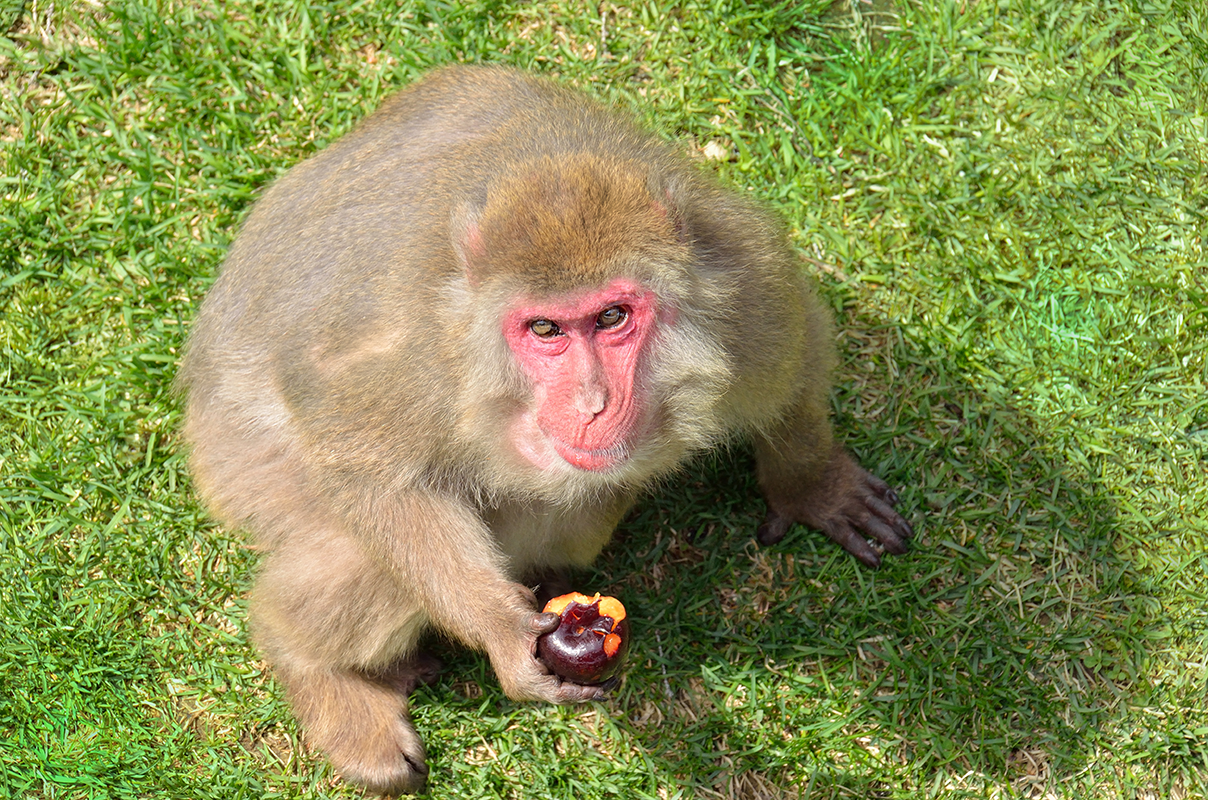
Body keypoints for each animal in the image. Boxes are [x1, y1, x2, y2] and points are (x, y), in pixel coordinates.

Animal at [176, 64, 908, 797]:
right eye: (545, 328)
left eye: (612, 316)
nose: (591, 402)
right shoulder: (419, 358)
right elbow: (363, 467)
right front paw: (501, 631)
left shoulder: (748, 294)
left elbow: (797, 363)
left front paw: (812, 485)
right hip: (243, 470)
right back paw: (317, 669)